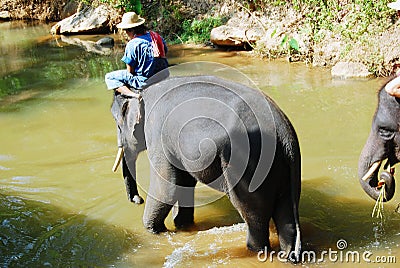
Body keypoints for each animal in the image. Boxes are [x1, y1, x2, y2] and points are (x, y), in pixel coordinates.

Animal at [110, 74, 300, 262]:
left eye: (117, 123)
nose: (138, 200)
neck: (143, 90)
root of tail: (284, 134)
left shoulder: (157, 134)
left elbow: (167, 188)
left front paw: (155, 231)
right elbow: (183, 183)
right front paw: (182, 225)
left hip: (248, 164)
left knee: (254, 214)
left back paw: (254, 250)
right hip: (284, 168)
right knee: (286, 213)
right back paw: (287, 256)